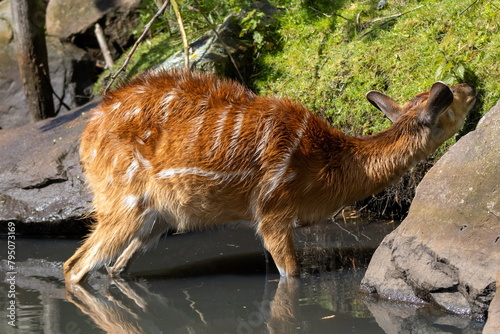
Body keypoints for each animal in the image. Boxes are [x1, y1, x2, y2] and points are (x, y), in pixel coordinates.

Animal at [63, 69, 476, 284]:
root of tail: (85, 138)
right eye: (453, 100)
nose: (471, 87)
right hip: (122, 202)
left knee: (114, 267)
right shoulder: (273, 211)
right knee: (74, 266)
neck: (326, 171)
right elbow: (291, 275)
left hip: (157, 217)